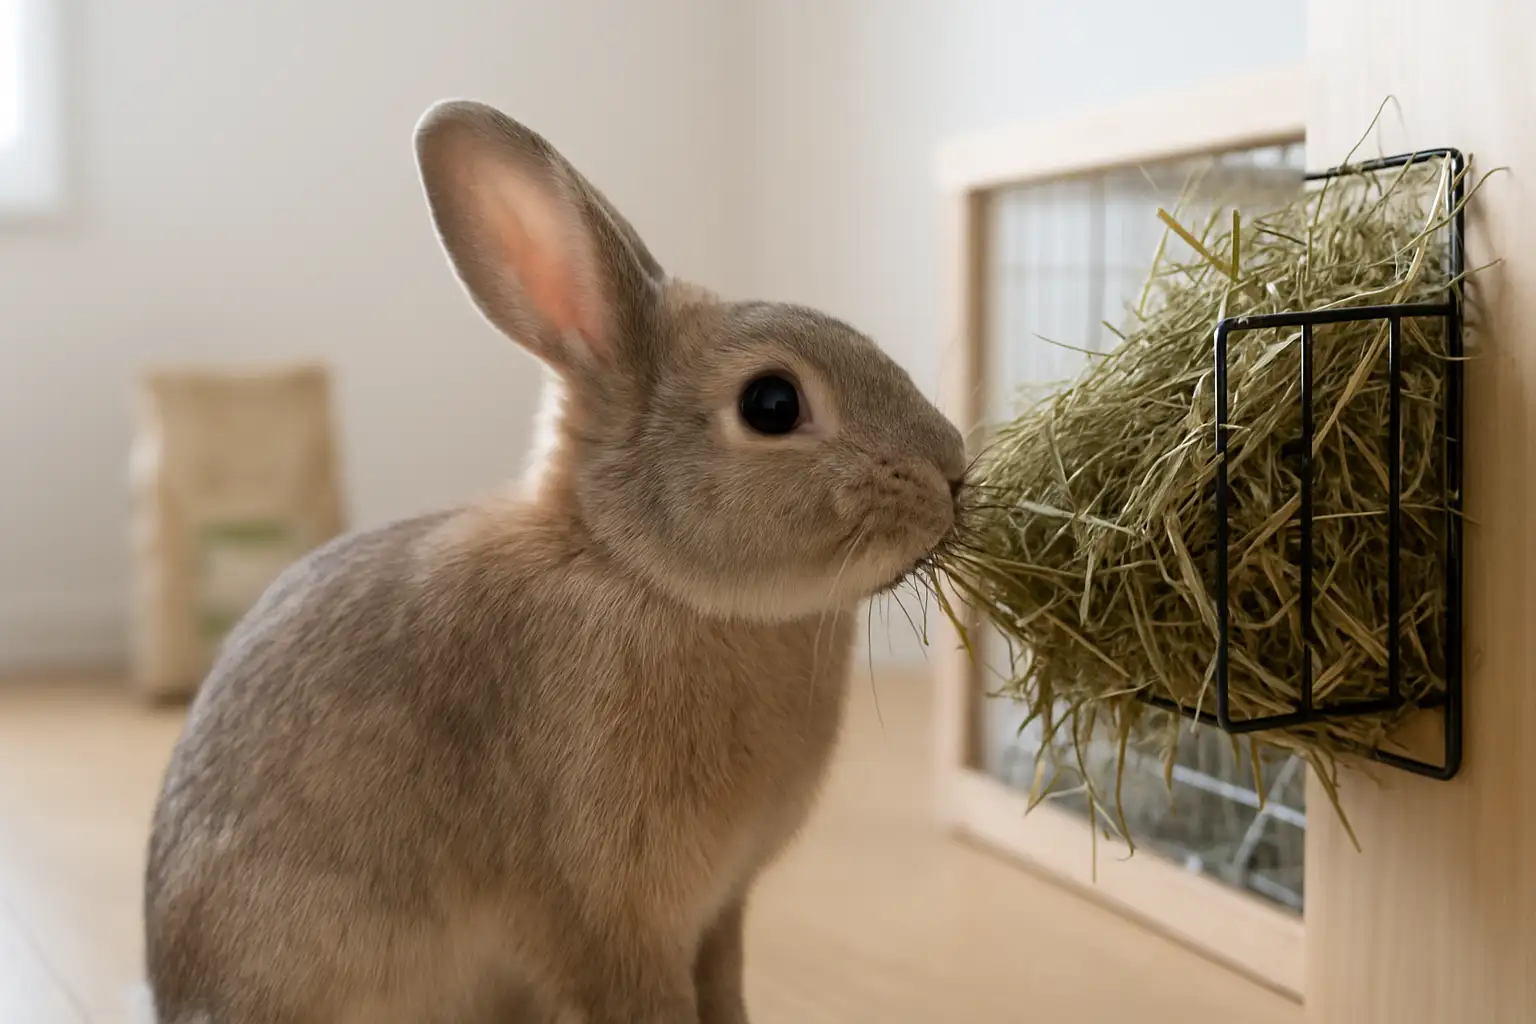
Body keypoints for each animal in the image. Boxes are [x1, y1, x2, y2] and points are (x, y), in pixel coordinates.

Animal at [142, 99, 966, 1024]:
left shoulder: (720, 910)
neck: (633, 569)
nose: (954, 472)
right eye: (771, 403)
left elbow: (724, 991)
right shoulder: (604, 916)